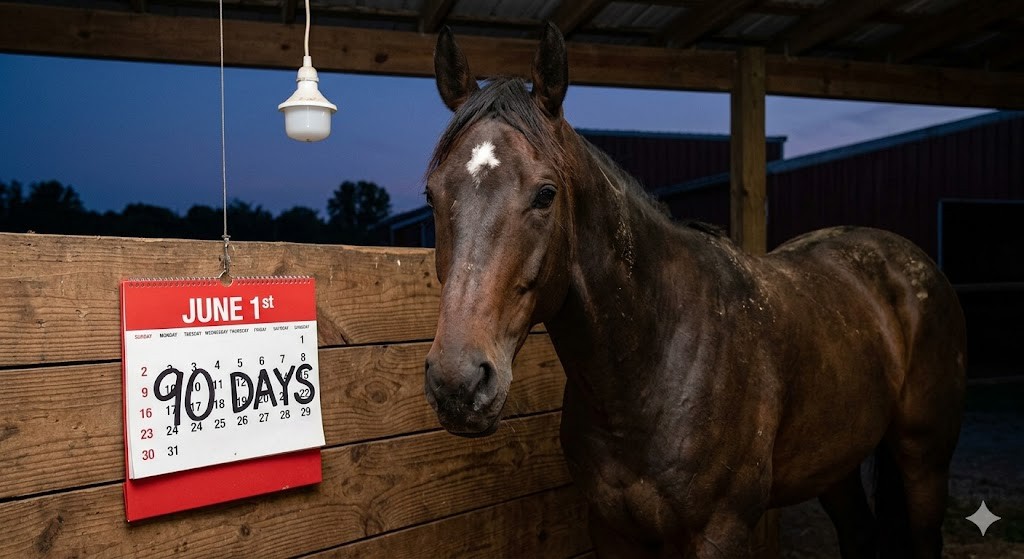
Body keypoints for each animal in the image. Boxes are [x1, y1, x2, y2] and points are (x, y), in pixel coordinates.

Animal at [422, 23, 966, 559]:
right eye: (431, 194)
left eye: (545, 194)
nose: (458, 383)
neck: (652, 362)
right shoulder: (611, 529)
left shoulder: (718, 531)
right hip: (835, 465)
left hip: (924, 460)